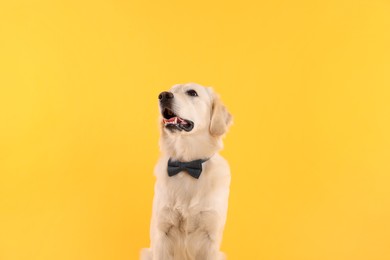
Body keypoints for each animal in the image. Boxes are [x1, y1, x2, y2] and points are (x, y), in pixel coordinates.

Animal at [140, 83, 232, 260]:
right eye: (170, 90)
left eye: (192, 93)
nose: (163, 95)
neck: (187, 165)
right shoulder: (162, 232)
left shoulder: (210, 235)